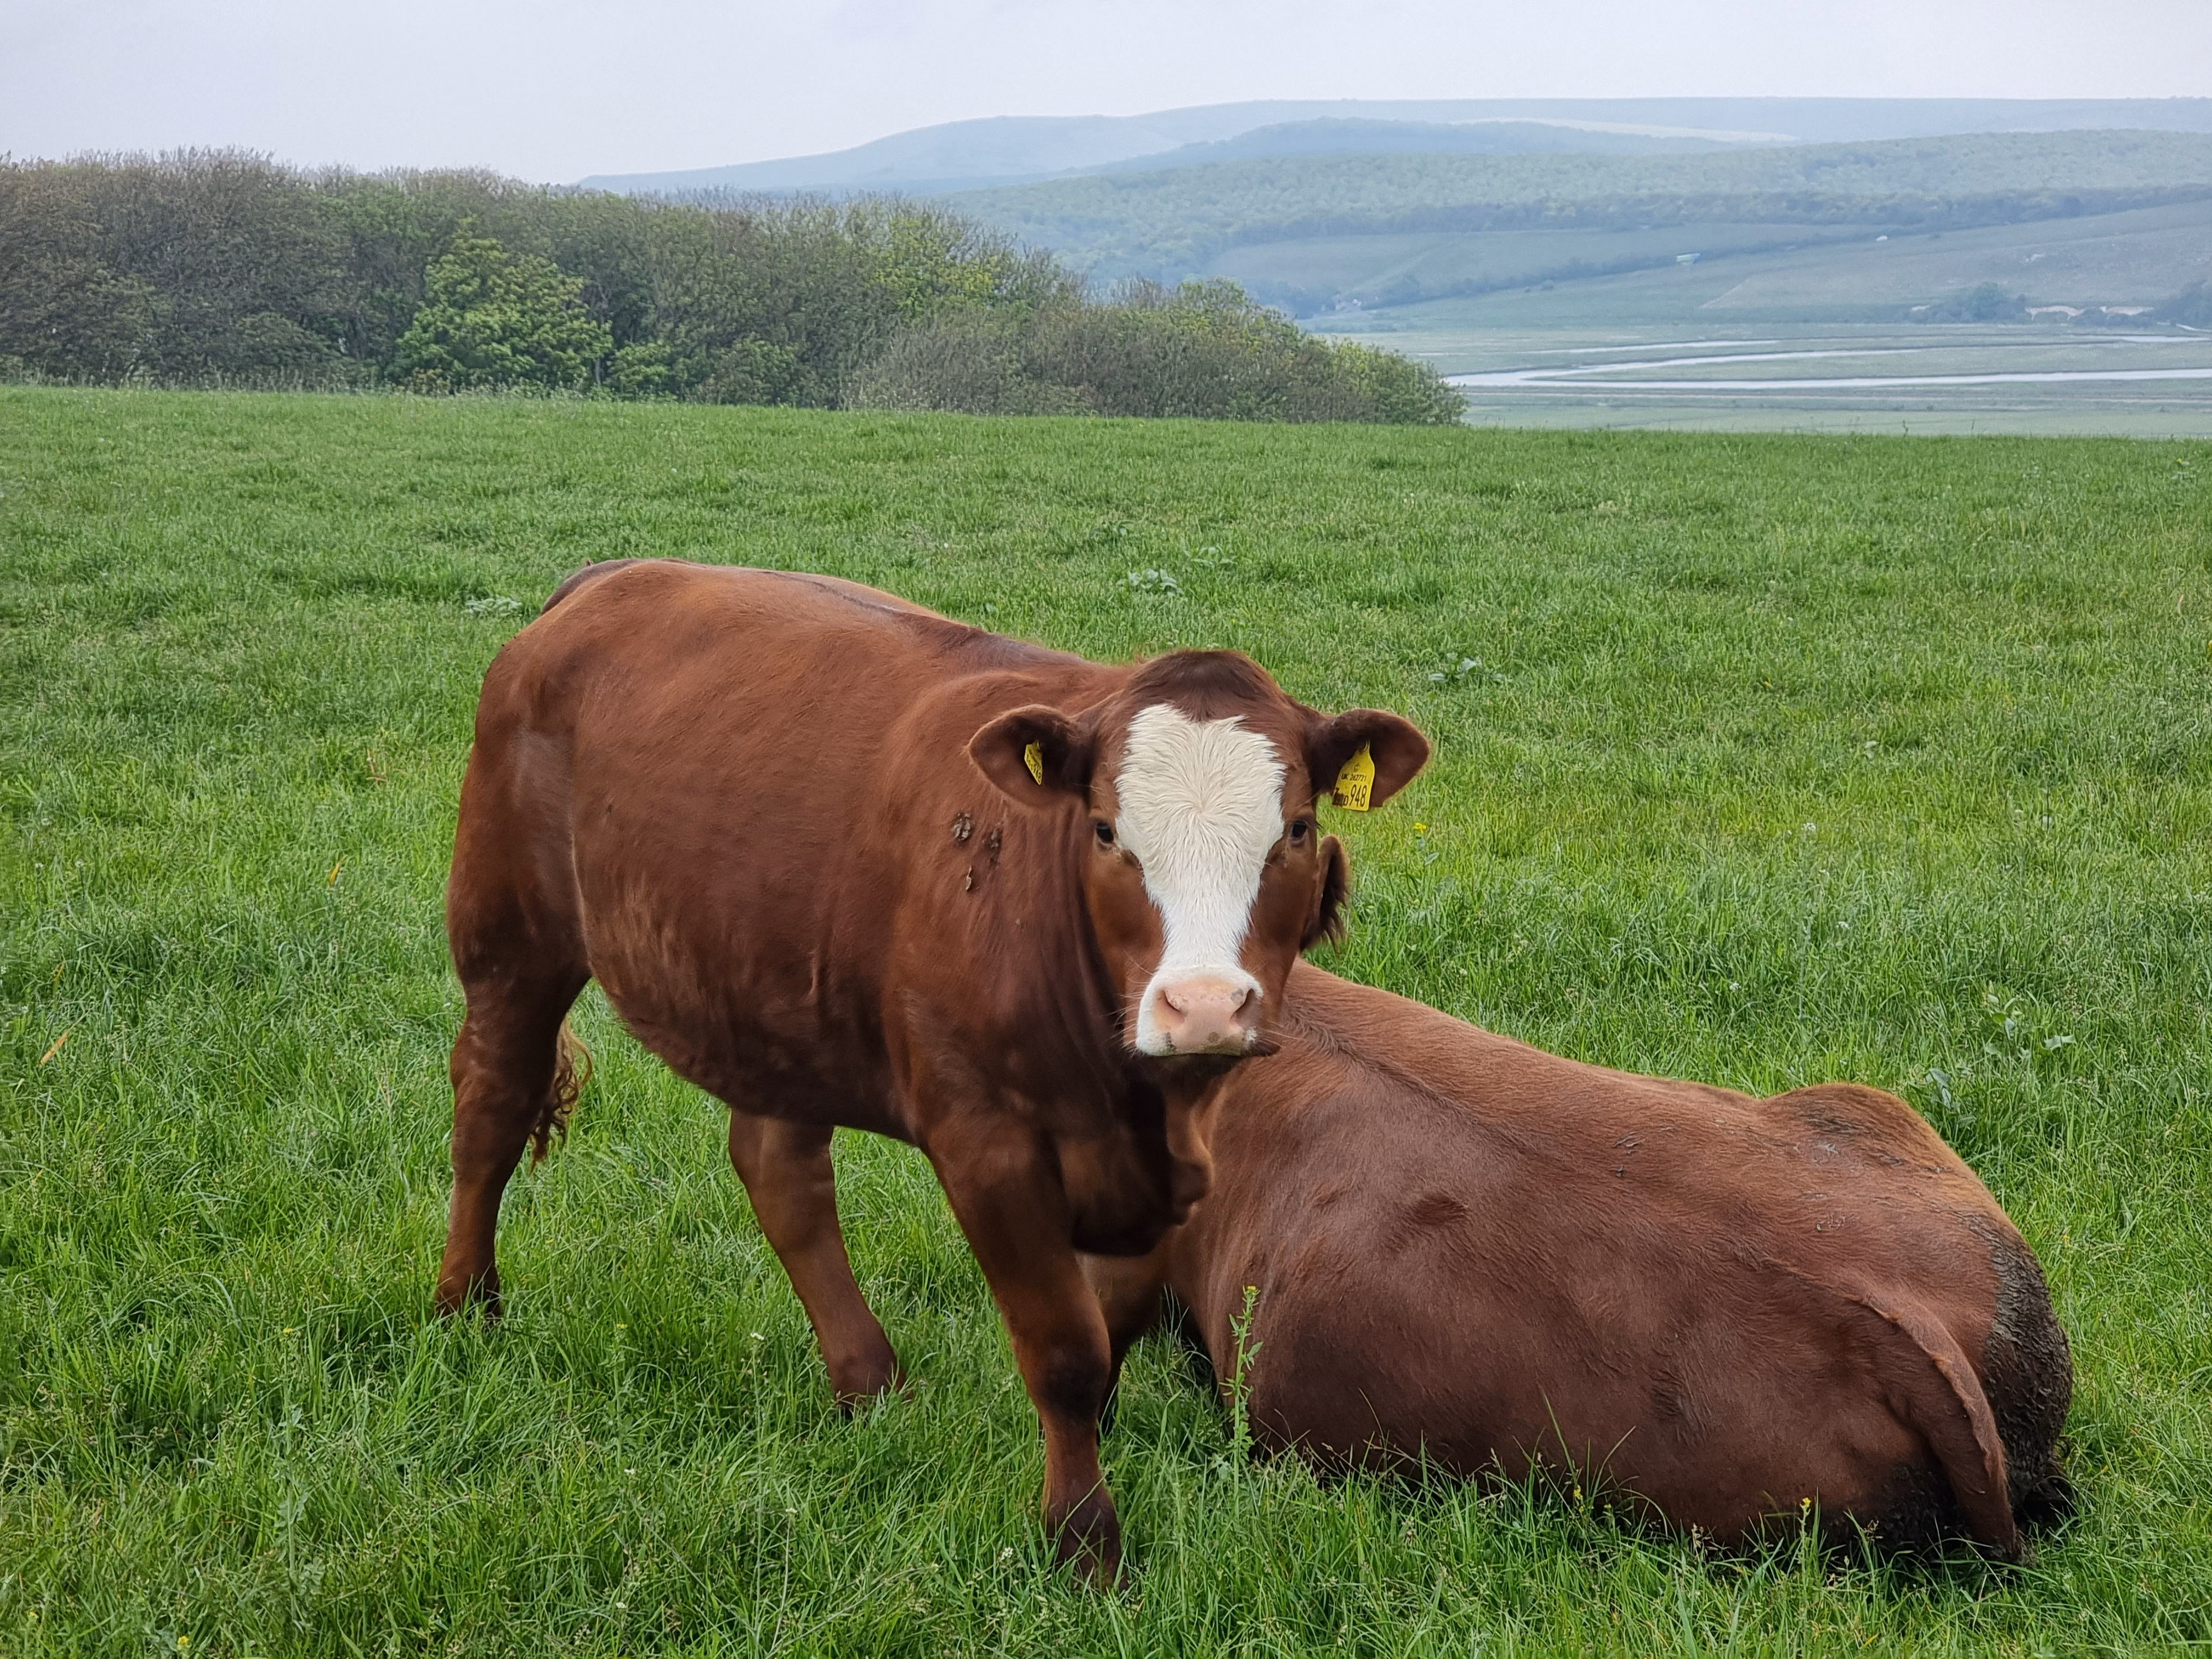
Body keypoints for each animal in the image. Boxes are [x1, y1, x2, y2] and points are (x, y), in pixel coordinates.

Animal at [433, 560, 1428, 1576]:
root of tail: (612, 575)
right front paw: (1083, 1540)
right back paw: (465, 1308)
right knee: (491, 1112)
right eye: (1107, 831)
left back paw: (869, 1384)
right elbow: (1065, 1353)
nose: (1203, 1006)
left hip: (776, 991)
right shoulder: (988, 1146)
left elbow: (1111, 1325)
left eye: (1297, 828)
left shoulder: (1162, 1172)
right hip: (511, 937)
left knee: (780, 1174)